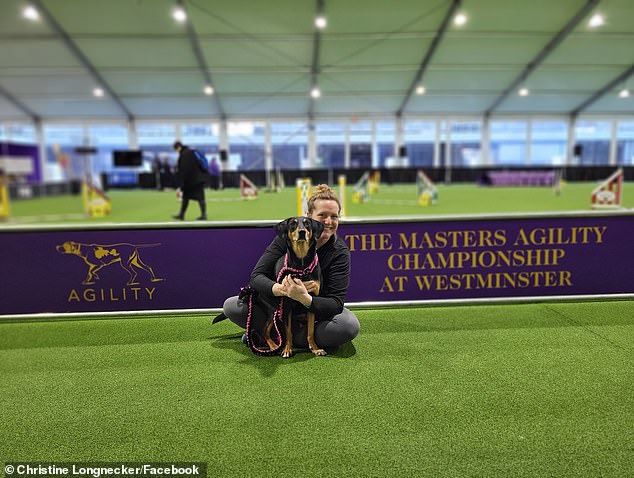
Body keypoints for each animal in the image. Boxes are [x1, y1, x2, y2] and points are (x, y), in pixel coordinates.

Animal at [262, 217, 324, 358]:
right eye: (292, 224)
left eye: (307, 223)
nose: (302, 232)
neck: (301, 267)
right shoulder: (286, 304)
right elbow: (288, 331)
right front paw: (287, 349)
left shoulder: (312, 300)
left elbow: (310, 331)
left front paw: (315, 349)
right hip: (273, 309)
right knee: (264, 331)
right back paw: (274, 347)